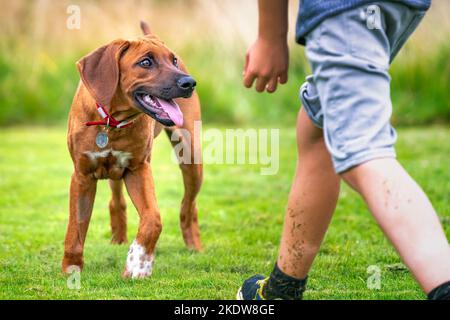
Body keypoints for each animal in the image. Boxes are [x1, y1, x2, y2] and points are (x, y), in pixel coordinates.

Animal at [62, 21, 203, 278]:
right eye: (145, 62)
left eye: (174, 60)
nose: (189, 83)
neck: (112, 121)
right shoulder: (82, 175)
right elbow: (75, 228)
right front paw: (71, 268)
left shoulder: (139, 169)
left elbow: (153, 219)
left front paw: (139, 262)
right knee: (116, 200)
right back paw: (117, 238)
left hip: (191, 157)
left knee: (189, 206)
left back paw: (194, 245)